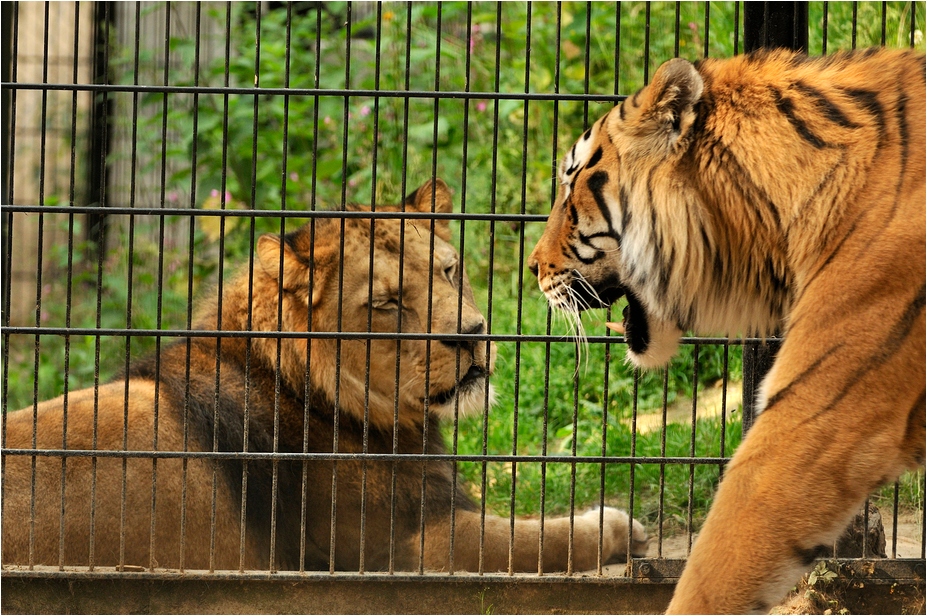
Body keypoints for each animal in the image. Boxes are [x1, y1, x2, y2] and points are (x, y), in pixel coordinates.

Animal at [3, 178, 648, 574]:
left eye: (449, 270)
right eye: (387, 302)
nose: (472, 333)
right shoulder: (407, 543)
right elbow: (536, 539)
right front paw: (617, 526)